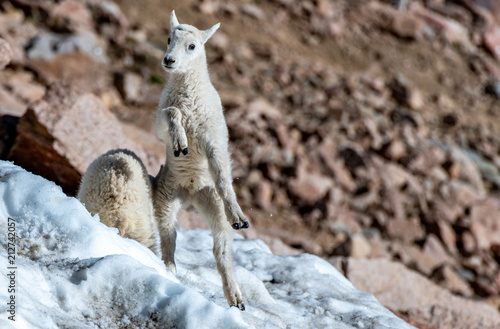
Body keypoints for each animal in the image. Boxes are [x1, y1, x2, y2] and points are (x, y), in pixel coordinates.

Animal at [154, 9, 250, 308]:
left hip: (213, 205)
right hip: (165, 196)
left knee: (221, 249)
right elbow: (172, 115)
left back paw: (236, 298)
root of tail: (190, 196)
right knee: (169, 234)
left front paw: (239, 215)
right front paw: (180, 145)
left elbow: (221, 171)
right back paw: (169, 269)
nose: (169, 61)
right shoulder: (161, 121)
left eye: (192, 46)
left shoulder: (211, 138)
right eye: (168, 38)